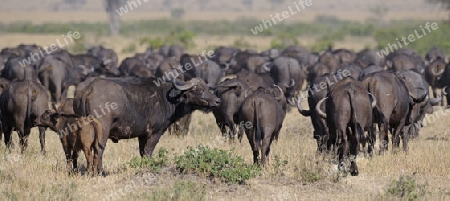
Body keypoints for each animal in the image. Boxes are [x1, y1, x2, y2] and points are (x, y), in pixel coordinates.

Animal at [73, 76, 221, 174]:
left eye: (208, 88)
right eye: (199, 90)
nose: (217, 101)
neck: (166, 98)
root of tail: (89, 89)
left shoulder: (142, 135)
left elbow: (142, 152)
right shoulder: (154, 133)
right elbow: (148, 152)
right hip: (102, 129)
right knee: (99, 149)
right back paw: (100, 172)